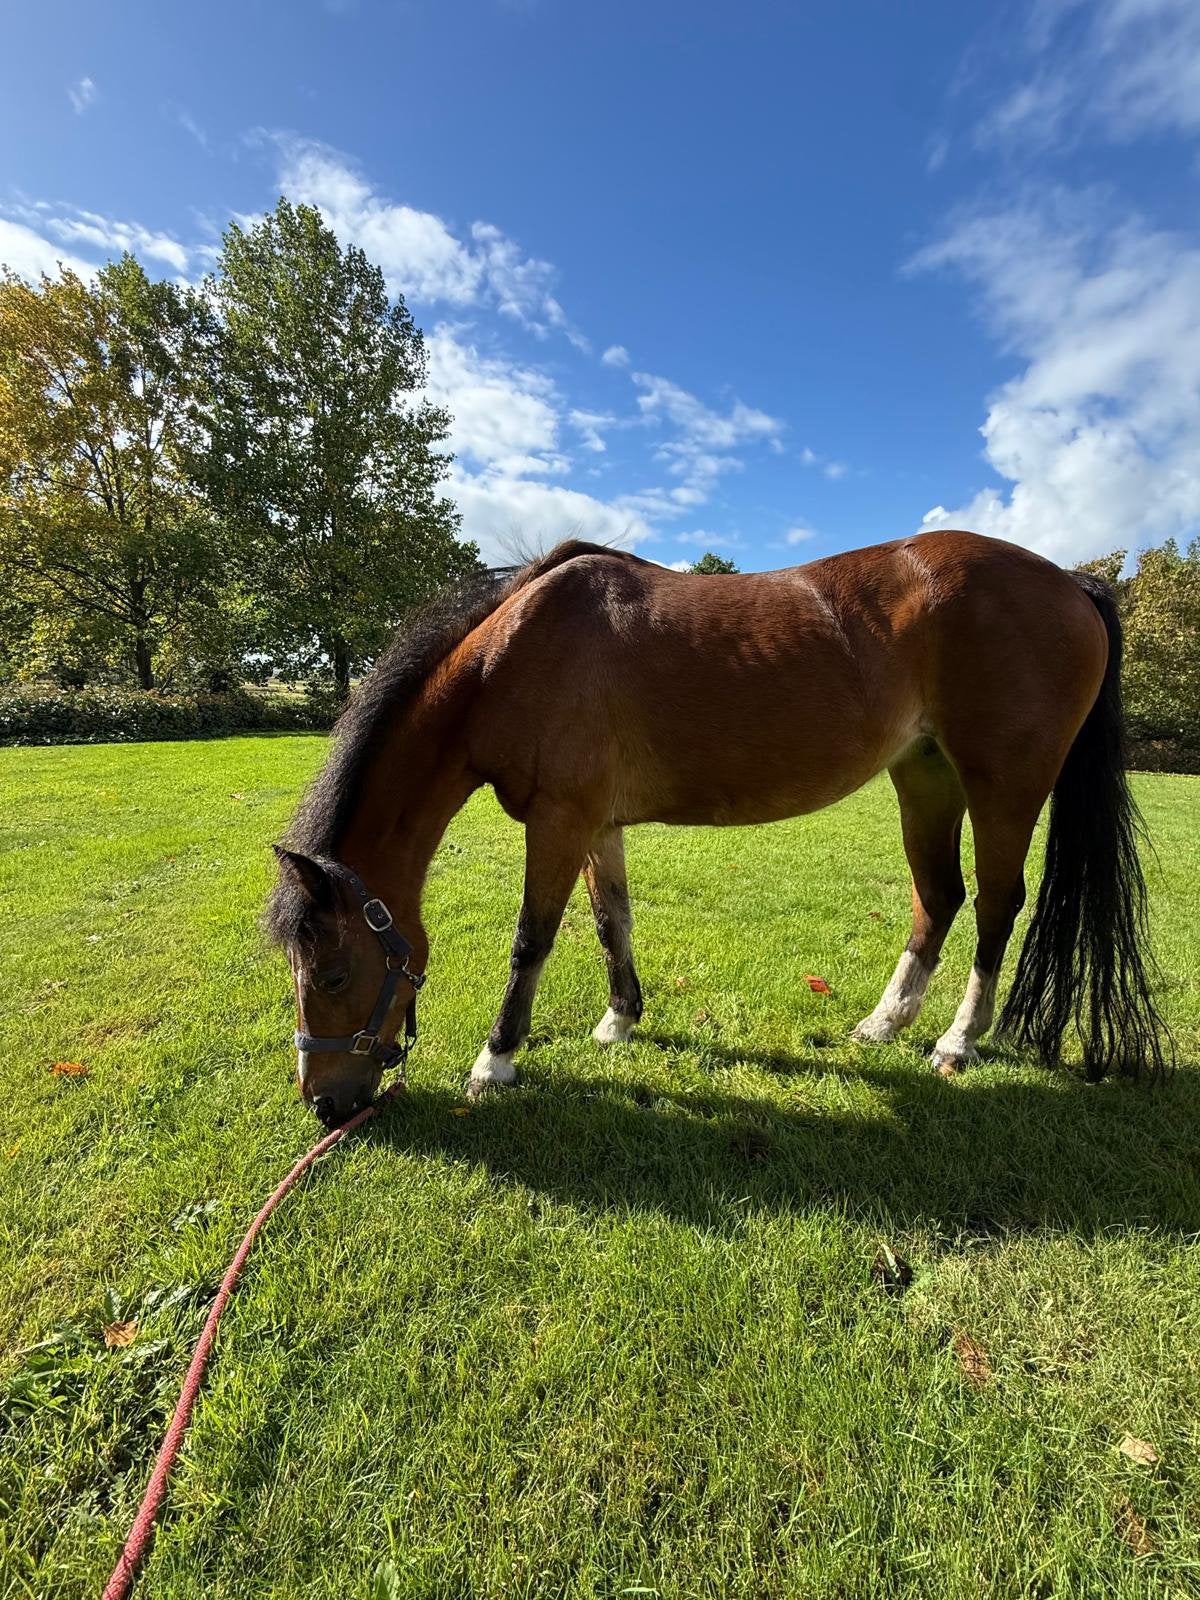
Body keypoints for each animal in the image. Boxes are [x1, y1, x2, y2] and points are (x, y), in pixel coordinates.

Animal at [266, 529, 1172, 1128]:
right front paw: (620, 1021)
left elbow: (532, 941)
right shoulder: (595, 824)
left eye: (335, 972)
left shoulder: (559, 821)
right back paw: (884, 1023)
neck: (512, 657)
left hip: (1003, 788)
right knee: (938, 897)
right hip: (926, 777)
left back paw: (957, 1041)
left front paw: (497, 1061)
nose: (324, 1104)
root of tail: (1070, 582)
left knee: (994, 906)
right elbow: (611, 922)